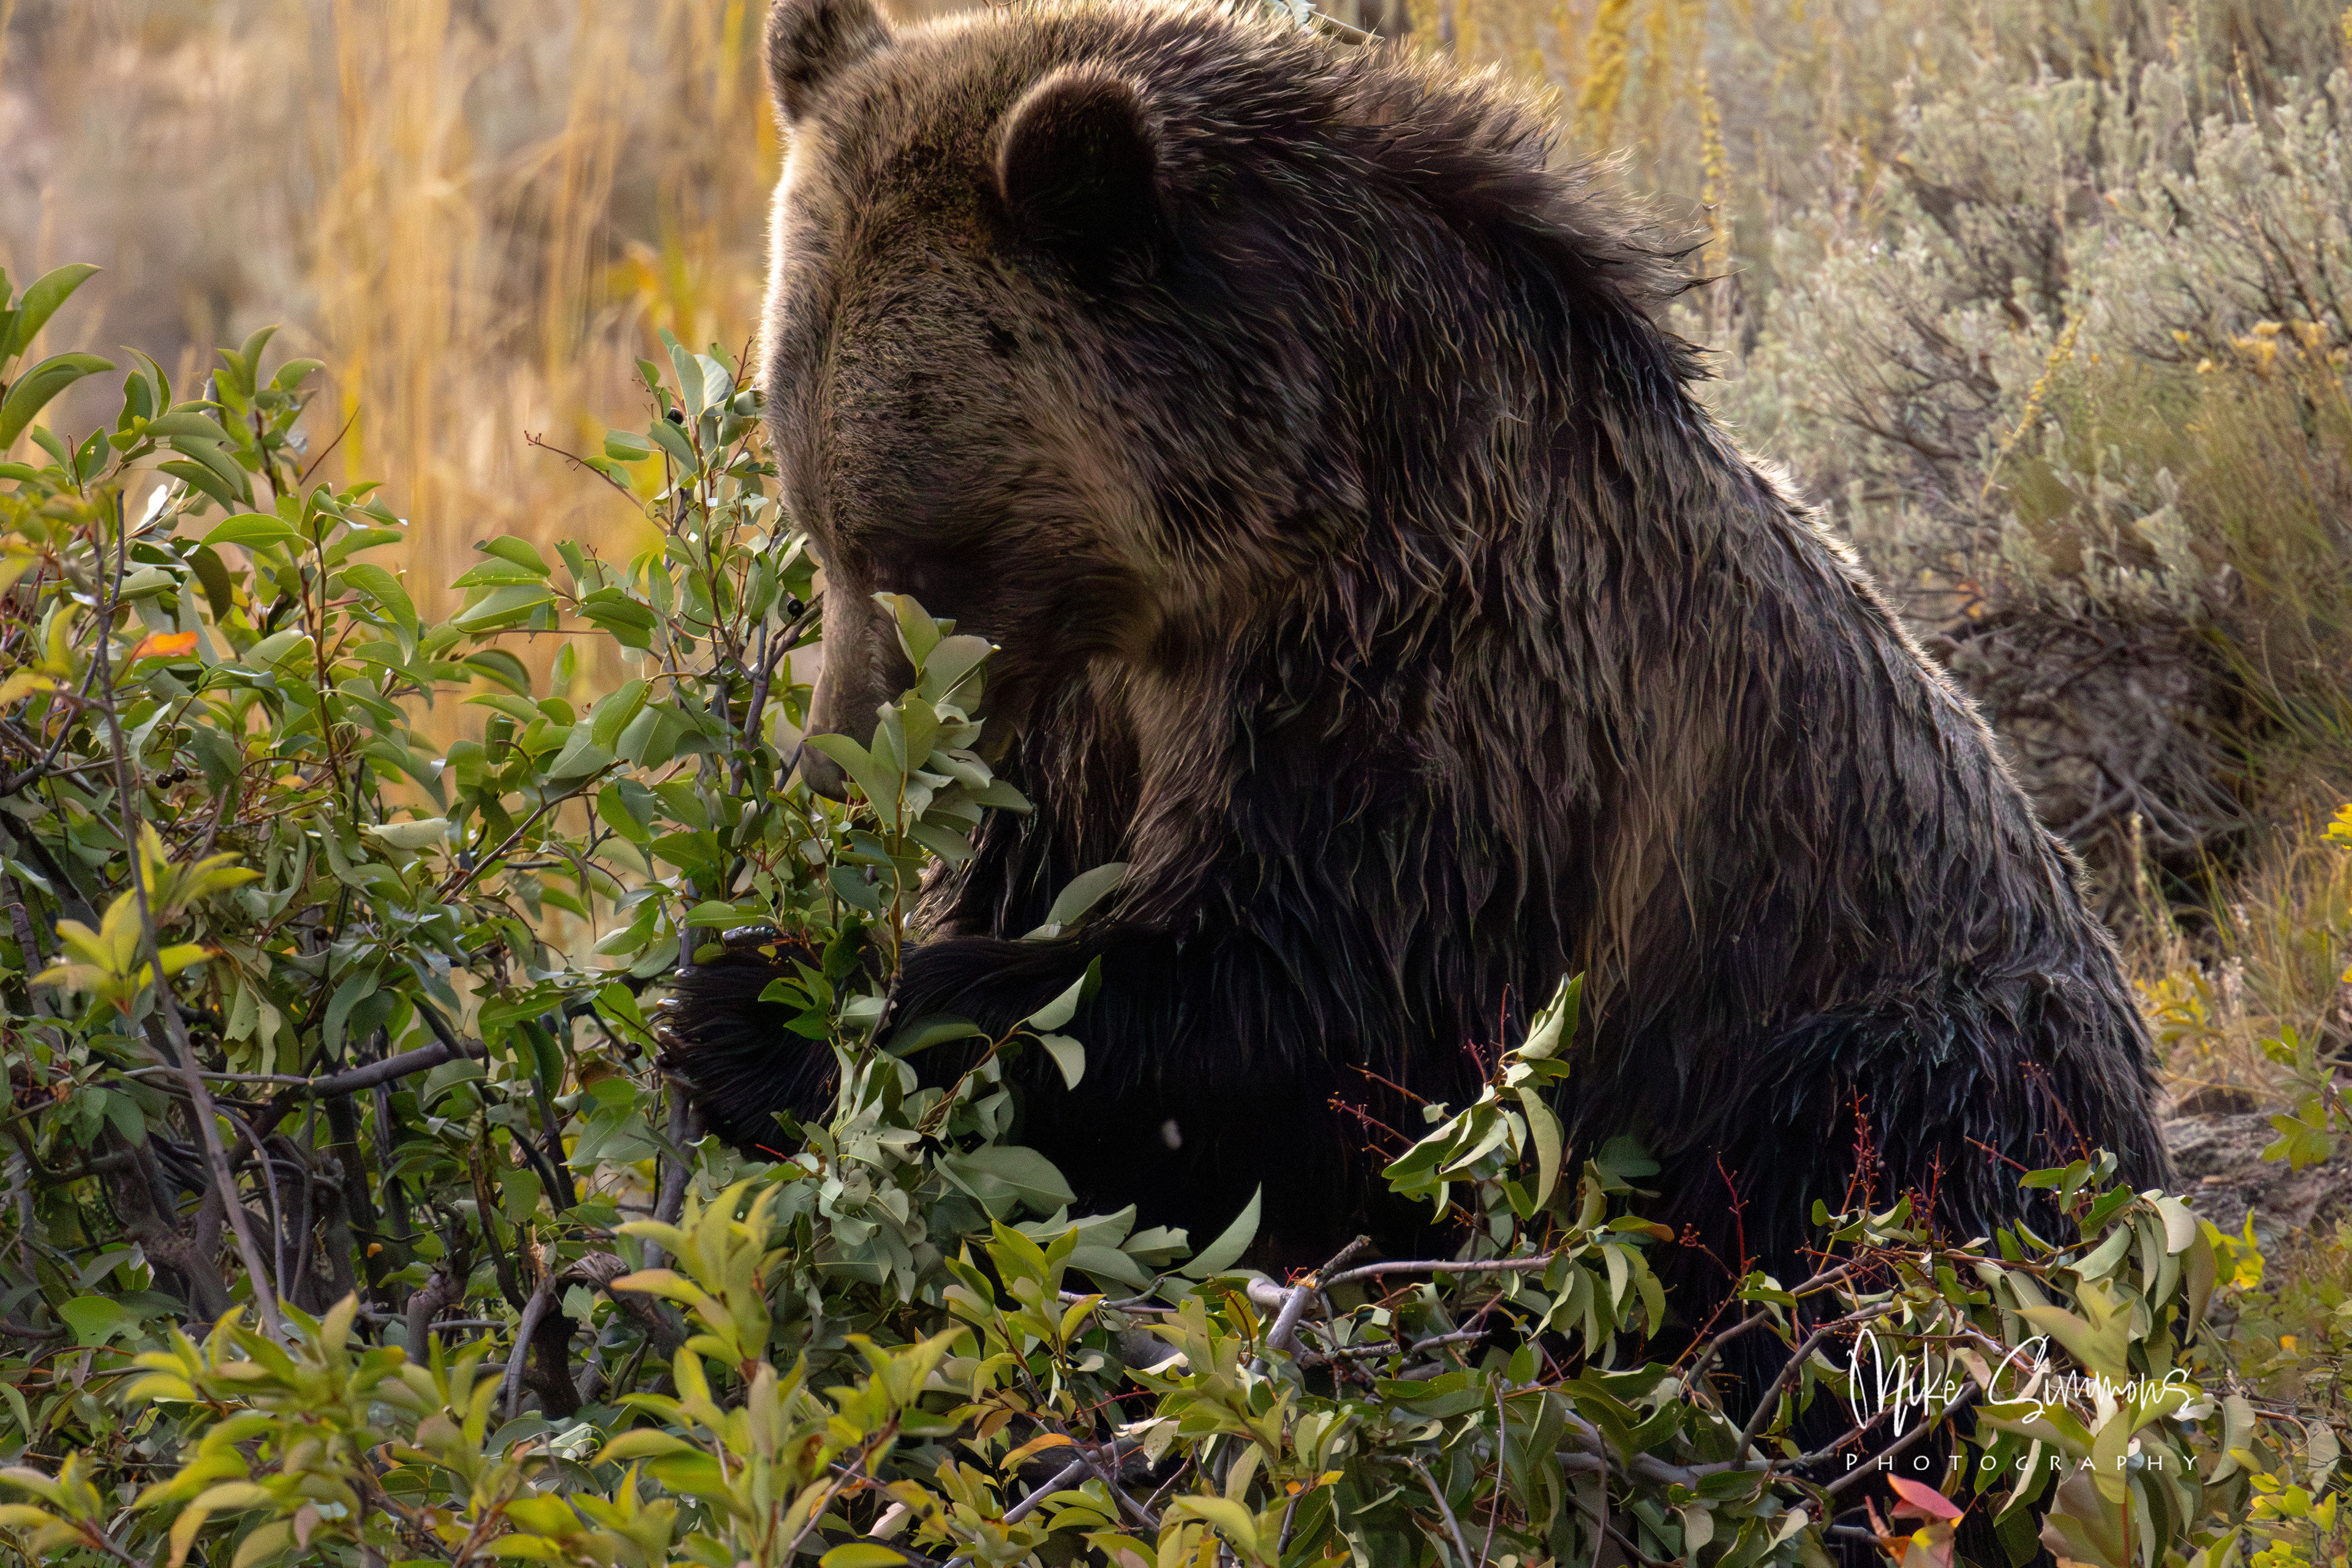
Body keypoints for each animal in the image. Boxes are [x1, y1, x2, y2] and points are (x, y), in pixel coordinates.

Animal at [658, 0, 2171, 1312]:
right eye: (815, 527)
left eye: (915, 554)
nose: (831, 767)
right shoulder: (1097, 708)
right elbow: (1057, 884)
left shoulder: (1454, 674)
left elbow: (1316, 1012)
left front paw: (757, 1012)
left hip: (1913, 1052)